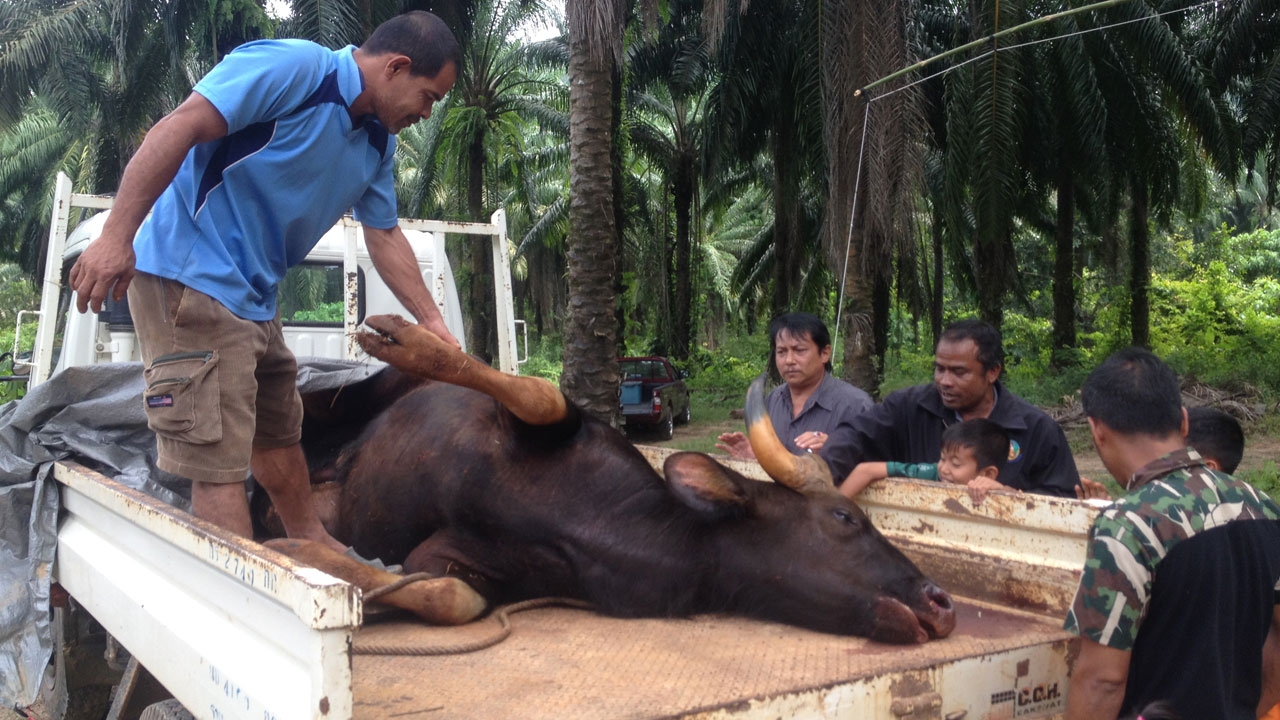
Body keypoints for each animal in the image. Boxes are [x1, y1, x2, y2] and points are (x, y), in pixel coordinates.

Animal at [275, 315, 956, 644]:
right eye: (844, 517)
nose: (940, 603)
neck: (612, 525)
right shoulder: (547, 422)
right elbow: (537, 388)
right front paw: (404, 337)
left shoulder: (467, 566)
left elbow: (450, 597)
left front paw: (308, 553)